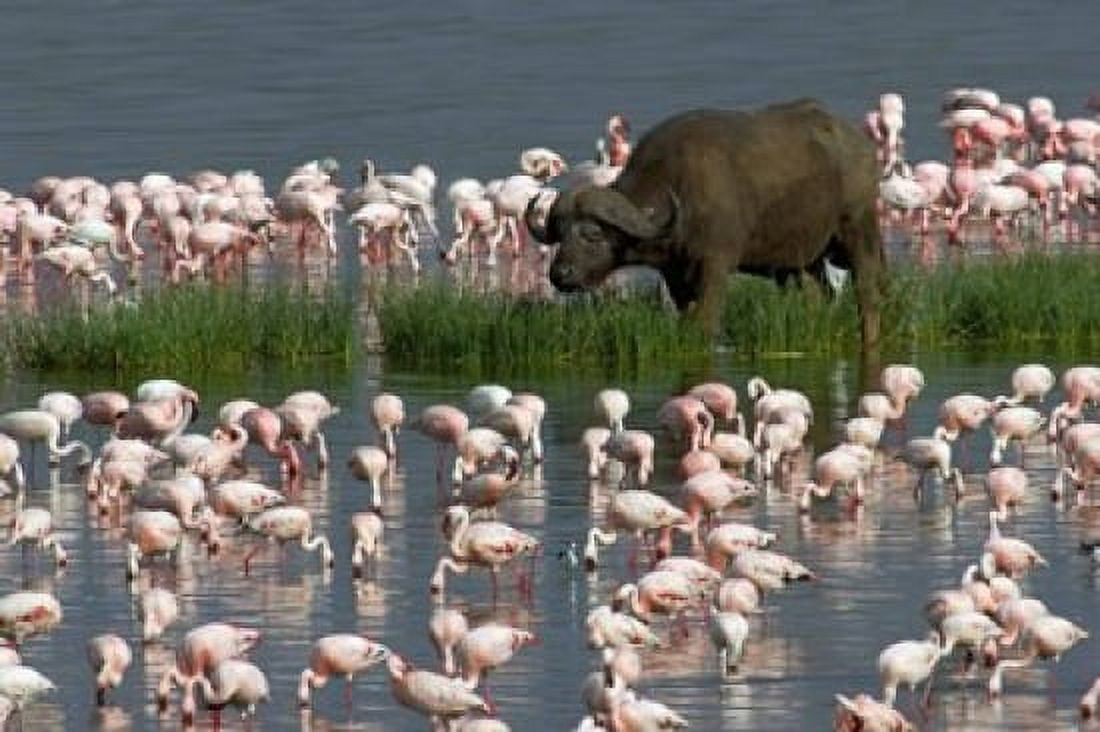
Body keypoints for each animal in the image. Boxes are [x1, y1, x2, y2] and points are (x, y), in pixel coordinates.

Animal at [527, 100, 885, 348]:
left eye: (593, 234)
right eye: (560, 234)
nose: (560, 274)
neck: (678, 193)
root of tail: (863, 146)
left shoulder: (715, 266)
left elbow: (706, 323)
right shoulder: (675, 276)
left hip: (859, 228)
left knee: (867, 293)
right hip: (804, 259)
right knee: (819, 297)